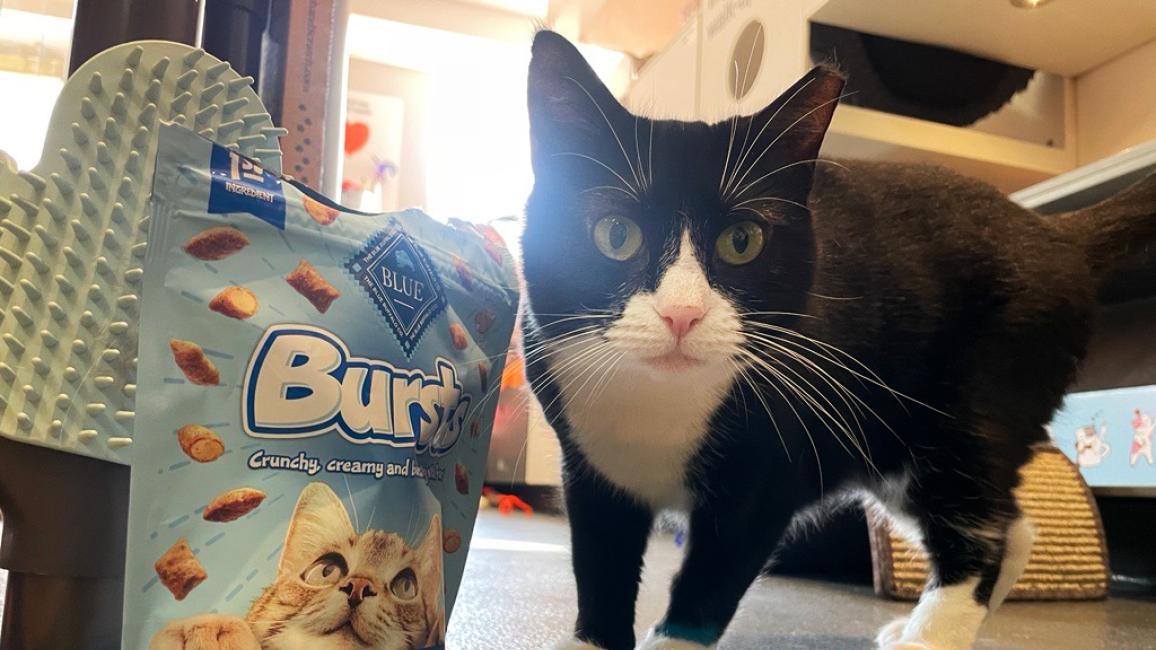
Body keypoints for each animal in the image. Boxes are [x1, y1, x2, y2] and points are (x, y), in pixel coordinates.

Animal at [522, 31, 1156, 647]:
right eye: (616, 234)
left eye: (742, 241)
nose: (683, 314)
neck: (657, 403)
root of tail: (1055, 232)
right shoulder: (591, 469)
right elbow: (600, 564)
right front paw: (595, 638)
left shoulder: (768, 473)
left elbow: (711, 578)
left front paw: (675, 637)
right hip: (892, 443)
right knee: (1012, 522)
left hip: (980, 396)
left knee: (981, 526)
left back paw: (931, 638)